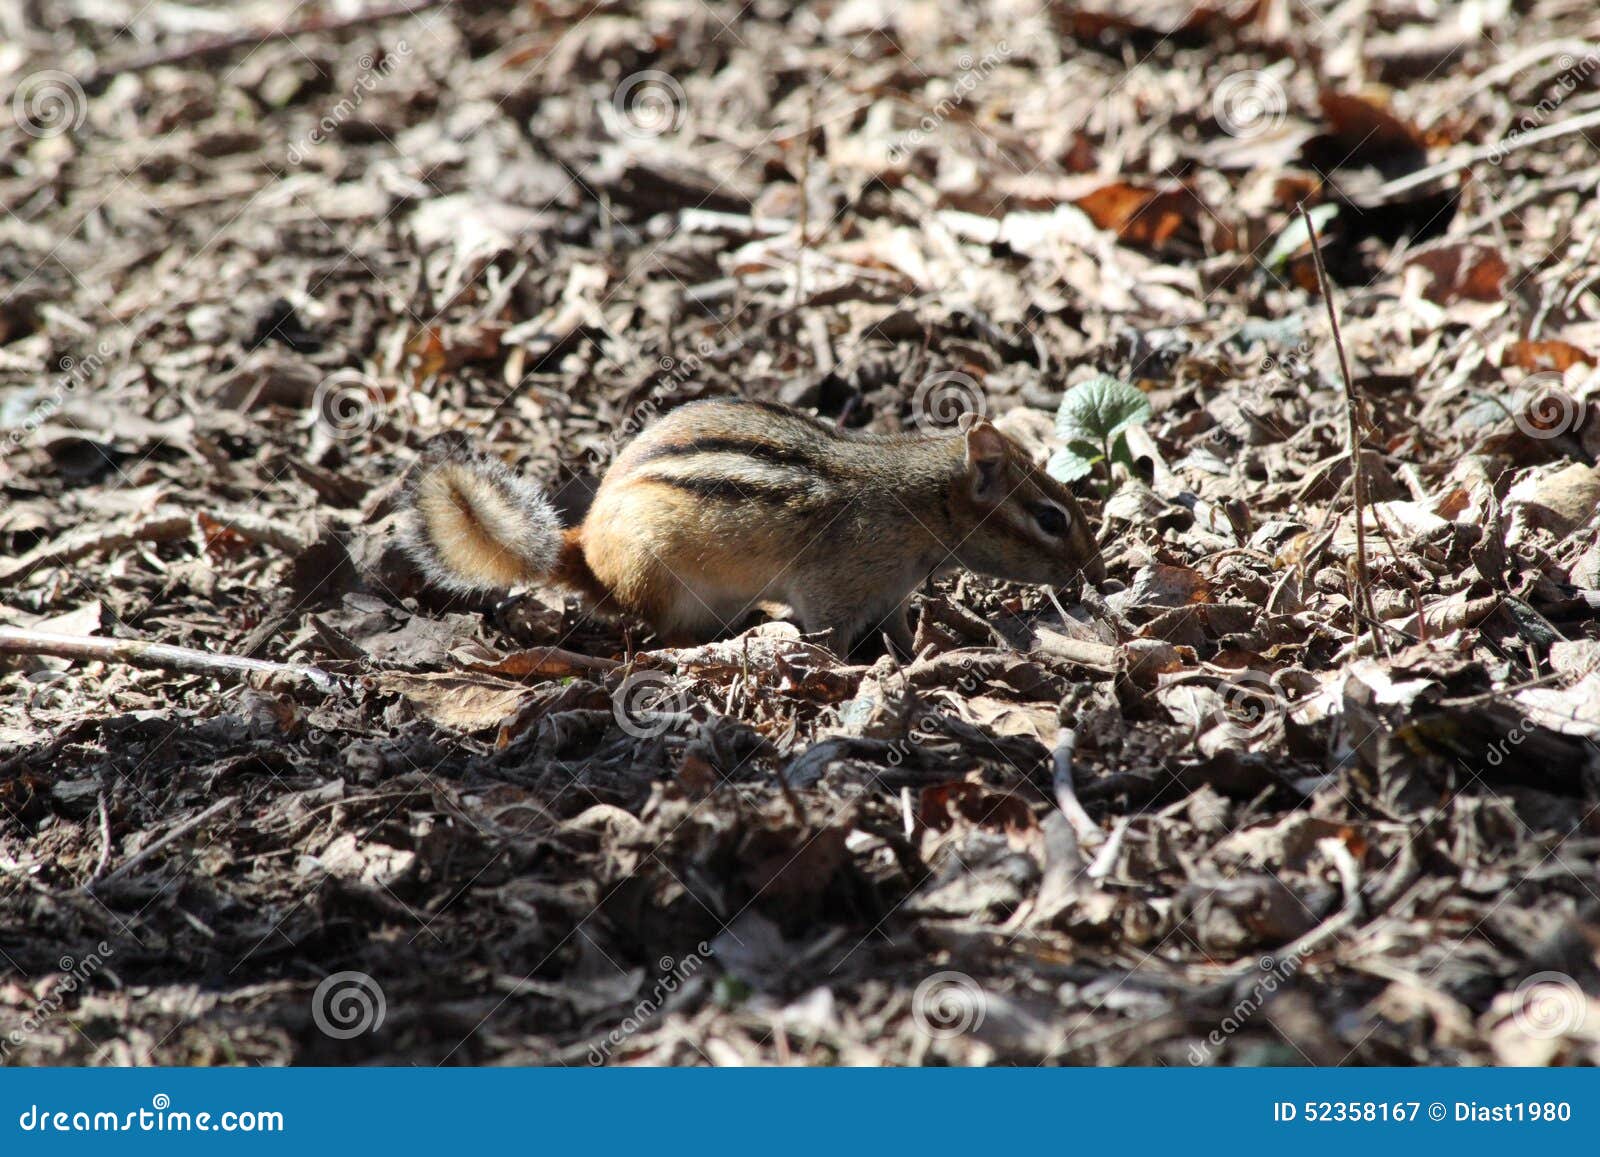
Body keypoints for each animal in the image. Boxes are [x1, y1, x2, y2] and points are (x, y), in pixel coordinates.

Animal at [399, 397, 1105, 655]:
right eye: (1051, 519)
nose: (1093, 569)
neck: (919, 503)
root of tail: (586, 552)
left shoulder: (891, 593)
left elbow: (900, 628)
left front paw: (920, 651)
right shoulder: (835, 587)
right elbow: (829, 635)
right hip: (667, 583)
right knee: (665, 634)